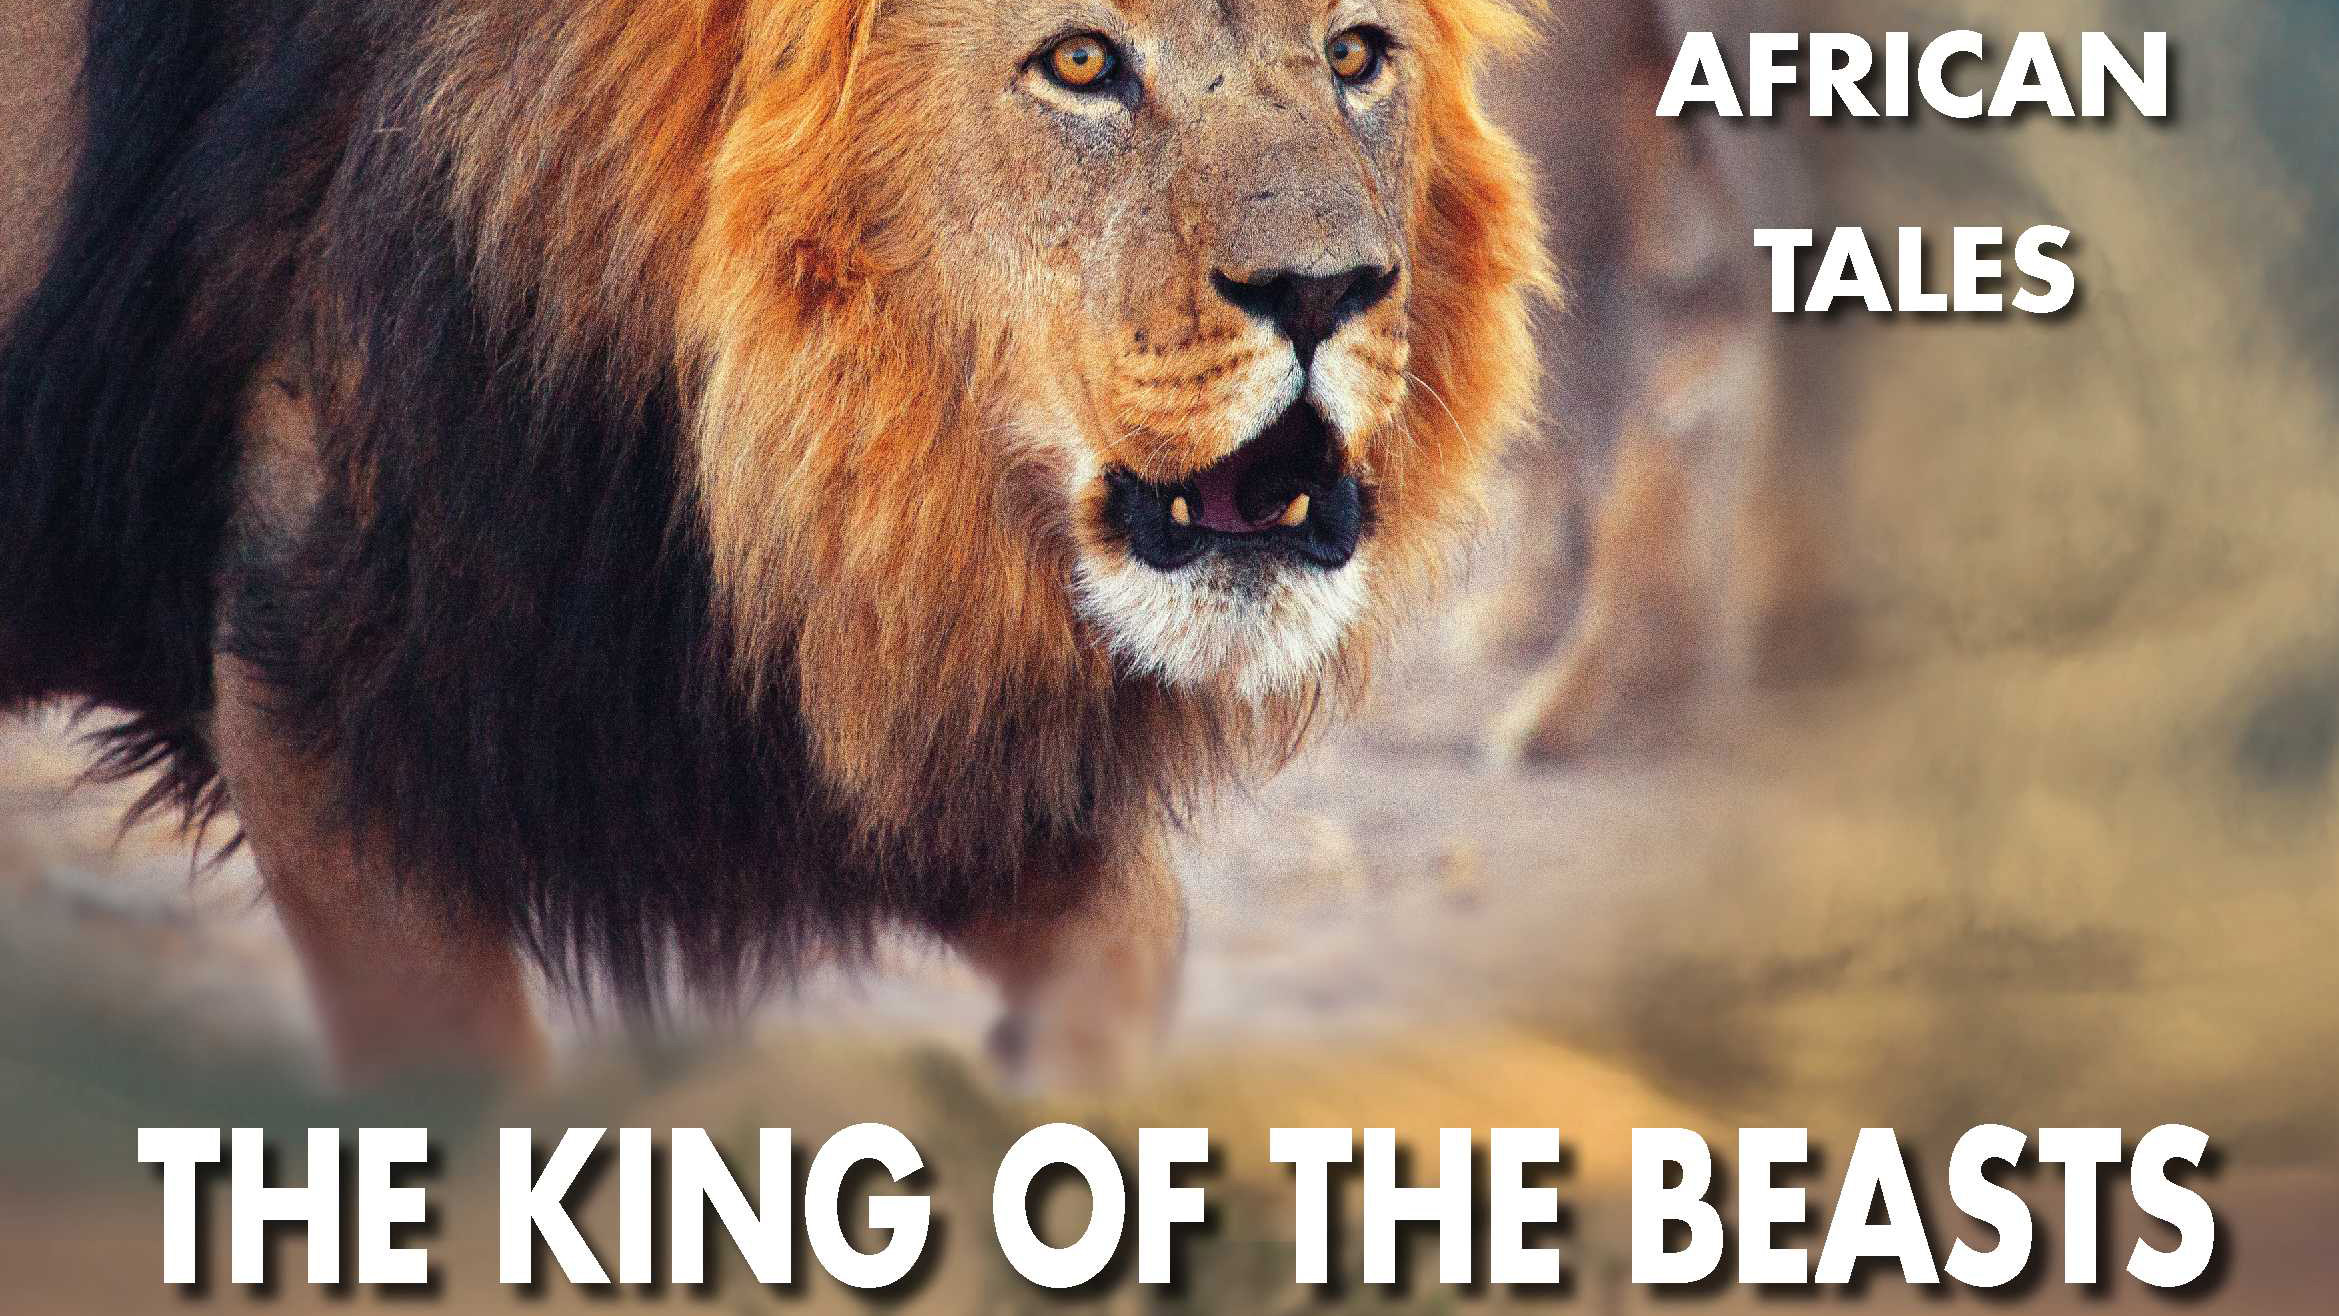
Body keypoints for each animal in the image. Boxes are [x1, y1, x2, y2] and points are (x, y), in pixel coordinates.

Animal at [0, 0, 1545, 1085]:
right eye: (1080, 62)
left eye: (1353, 54)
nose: (1326, 290)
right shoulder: (312, 689)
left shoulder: (822, 720)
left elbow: (1135, 937)